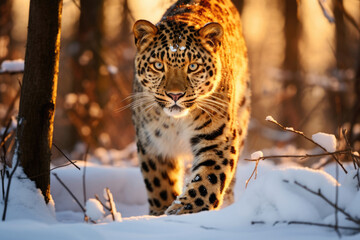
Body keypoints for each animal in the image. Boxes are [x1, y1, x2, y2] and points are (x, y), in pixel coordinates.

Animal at [131, 0, 250, 216]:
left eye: (193, 67)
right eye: (158, 66)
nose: (175, 95)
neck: (176, 122)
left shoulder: (218, 137)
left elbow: (207, 180)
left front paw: (185, 211)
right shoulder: (154, 143)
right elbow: (159, 183)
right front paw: (160, 213)